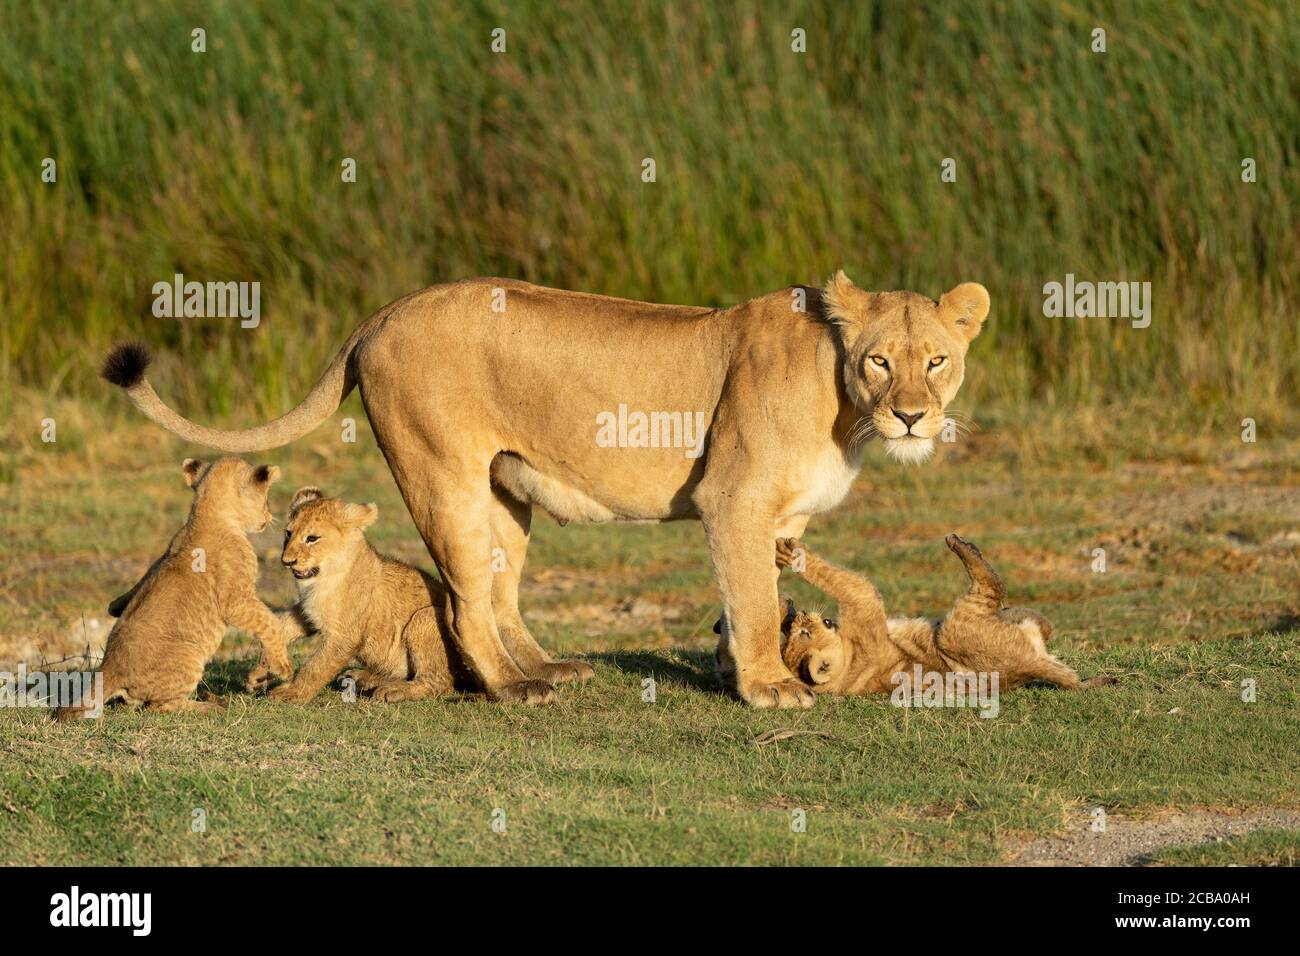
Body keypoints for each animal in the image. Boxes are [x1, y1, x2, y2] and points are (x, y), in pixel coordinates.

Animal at [101, 273, 987, 707]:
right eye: (882, 360)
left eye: (937, 360)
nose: (913, 416)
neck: (844, 405)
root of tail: (381, 314)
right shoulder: (731, 501)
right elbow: (756, 603)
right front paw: (769, 688)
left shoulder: (781, 519)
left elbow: (774, 591)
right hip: (442, 476)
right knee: (465, 603)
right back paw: (516, 689)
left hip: (505, 493)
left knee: (498, 595)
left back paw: (550, 670)